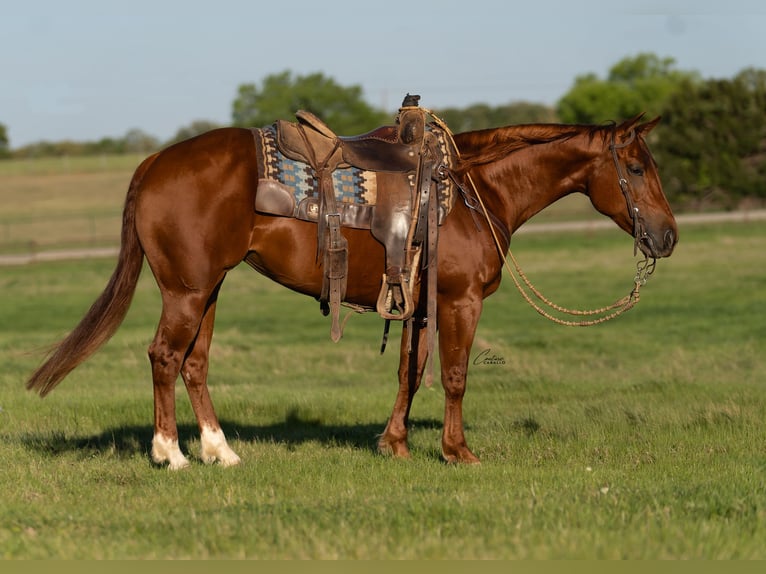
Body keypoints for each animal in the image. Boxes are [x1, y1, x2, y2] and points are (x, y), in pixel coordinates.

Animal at [26, 113, 677, 469]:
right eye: (637, 168)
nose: (668, 236)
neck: (471, 192)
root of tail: (155, 162)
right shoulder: (459, 301)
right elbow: (455, 376)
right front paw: (458, 452)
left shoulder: (418, 305)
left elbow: (411, 374)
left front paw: (395, 444)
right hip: (186, 291)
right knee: (164, 357)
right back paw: (173, 454)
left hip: (207, 290)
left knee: (193, 363)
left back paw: (220, 451)